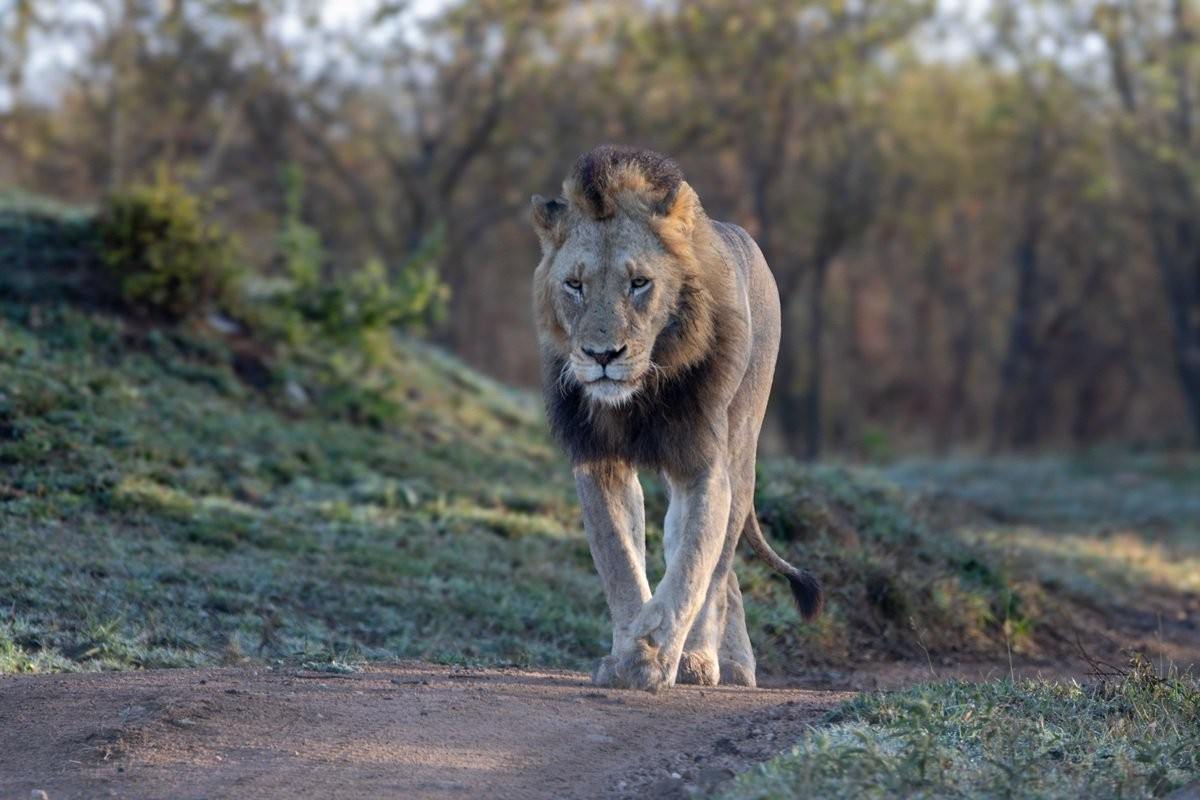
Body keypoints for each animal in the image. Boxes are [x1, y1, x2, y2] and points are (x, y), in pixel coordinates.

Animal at [529, 145, 822, 692]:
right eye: (574, 285)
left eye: (639, 283)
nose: (602, 355)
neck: (638, 394)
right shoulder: (598, 461)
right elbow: (619, 561)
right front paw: (628, 648)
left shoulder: (704, 465)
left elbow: (691, 568)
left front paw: (656, 653)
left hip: (741, 454)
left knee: (718, 568)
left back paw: (708, 661)